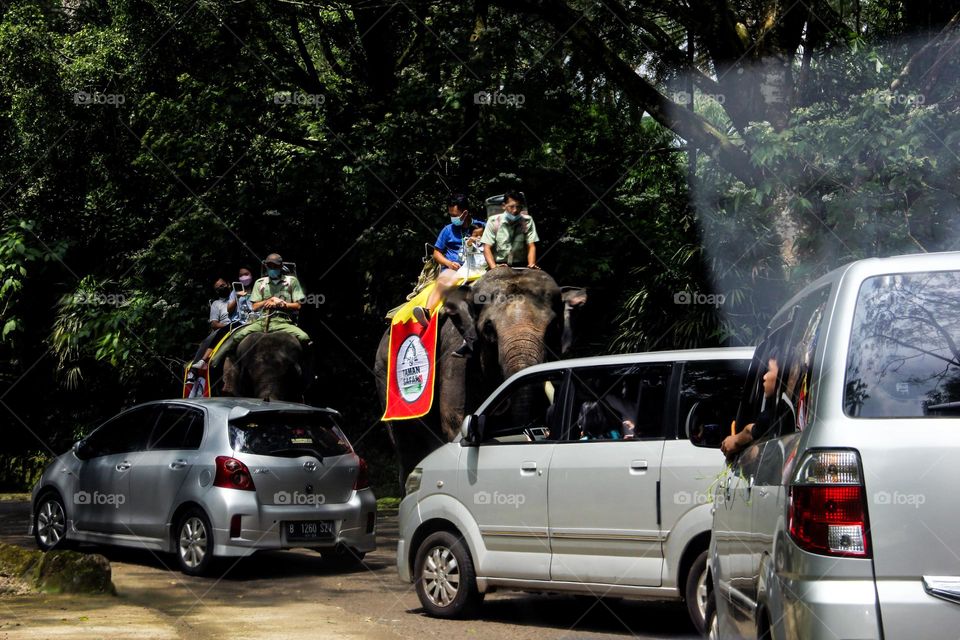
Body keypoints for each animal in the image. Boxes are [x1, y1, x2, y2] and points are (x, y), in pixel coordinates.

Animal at [374, 268, 584, 484]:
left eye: (552, 328)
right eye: (489, 328)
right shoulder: (455, 357)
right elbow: (455, 420)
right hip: (384, 377)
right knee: (406, 447)